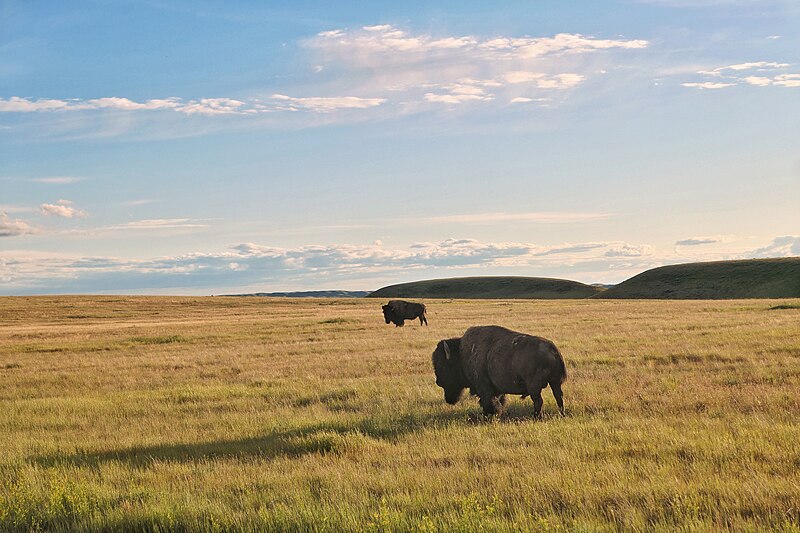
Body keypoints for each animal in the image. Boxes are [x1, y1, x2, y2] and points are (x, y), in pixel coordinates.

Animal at [432, 326, 568, 418]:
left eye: (443, 365)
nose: (438, 382)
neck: (461, 354)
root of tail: (553, 349)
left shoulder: (484, 388)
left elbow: (489, 401)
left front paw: (491, 415)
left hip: (534, 387)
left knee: (539, 401)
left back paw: (535, 416)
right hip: (555, 383)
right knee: (558, 397)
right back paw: (561, 414)